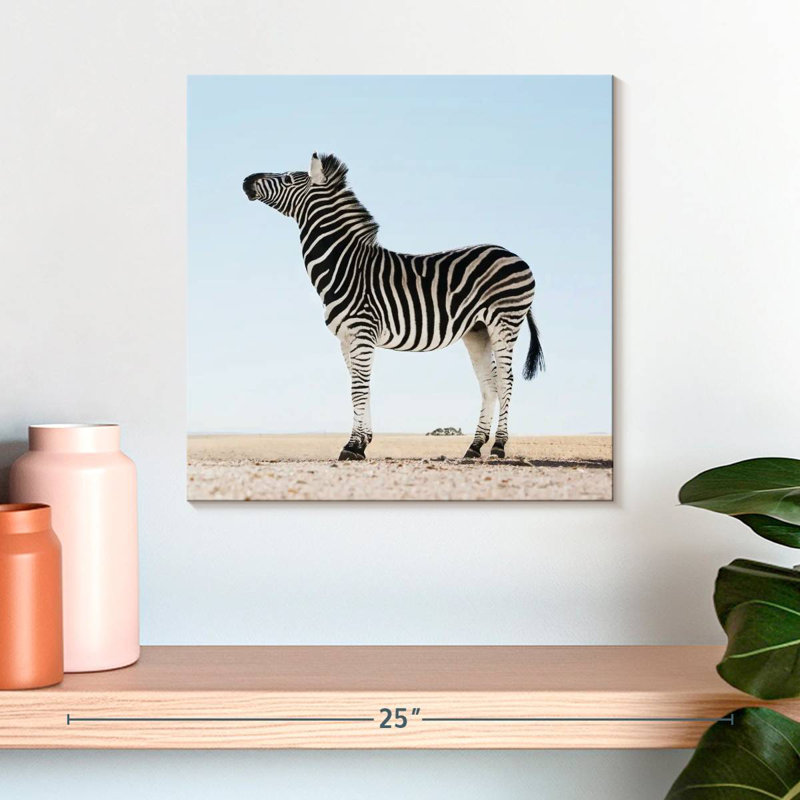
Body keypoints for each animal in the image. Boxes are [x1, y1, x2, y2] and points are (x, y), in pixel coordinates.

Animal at [243, 153, 544, 462]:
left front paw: (352, 446)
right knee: (489, 383)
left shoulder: (362, 331)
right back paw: (473, 447)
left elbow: (358, 389)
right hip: (477, 331)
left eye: (288, 178)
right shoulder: (347, 337)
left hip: (504, 322)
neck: (345, 265)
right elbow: (361, 386)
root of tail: (515, 256)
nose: (246, 180)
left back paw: (498, 446)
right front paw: (363, 442)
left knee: (506, 380)